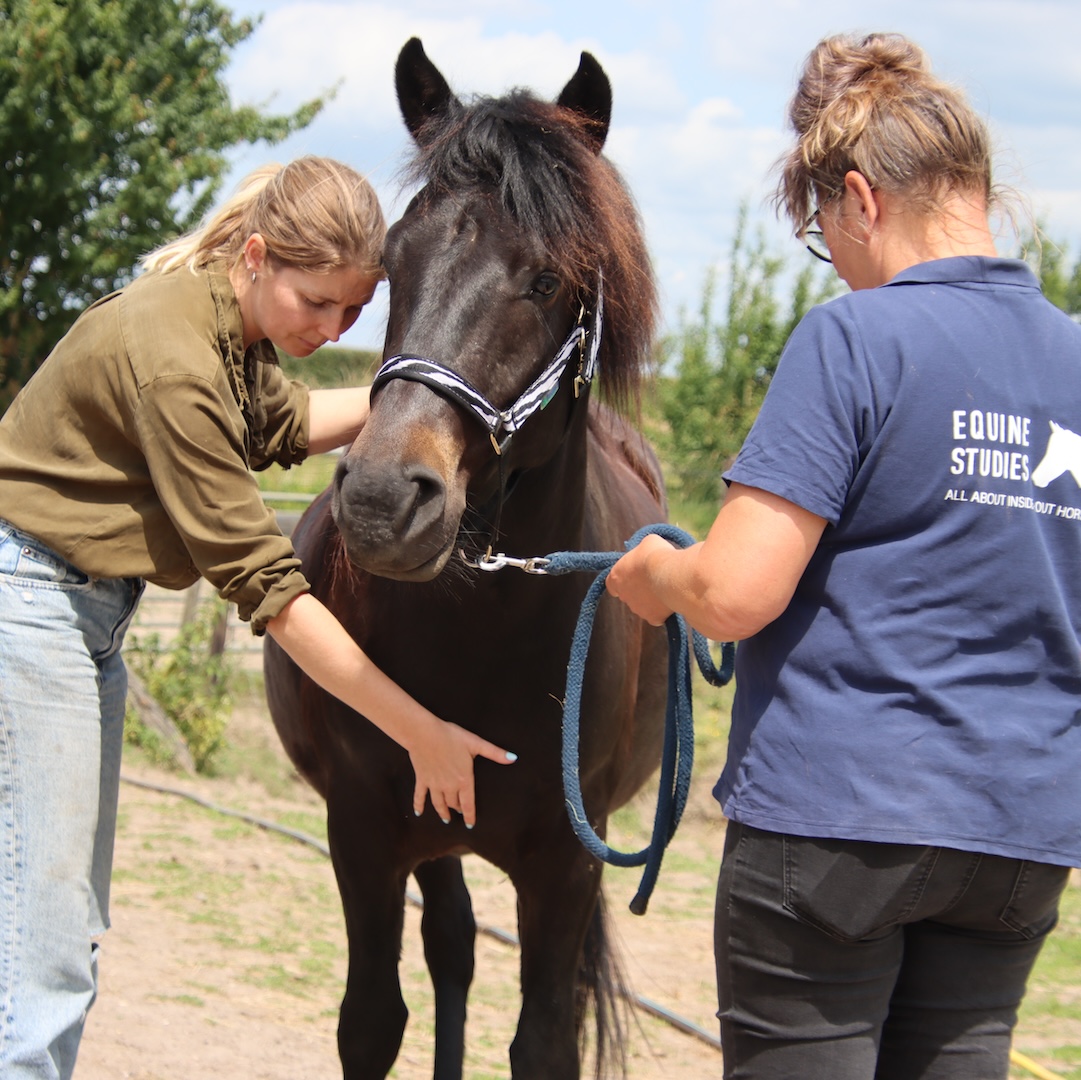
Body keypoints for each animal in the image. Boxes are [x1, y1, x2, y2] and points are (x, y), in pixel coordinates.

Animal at [264, 38, 669, 1079]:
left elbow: (545, 1039)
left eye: (547, 280)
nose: (379, 500)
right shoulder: (363, 837)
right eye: (391, 263)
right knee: (451, 946)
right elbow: (372, 1020)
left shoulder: (567, 865)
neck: (486, 641)